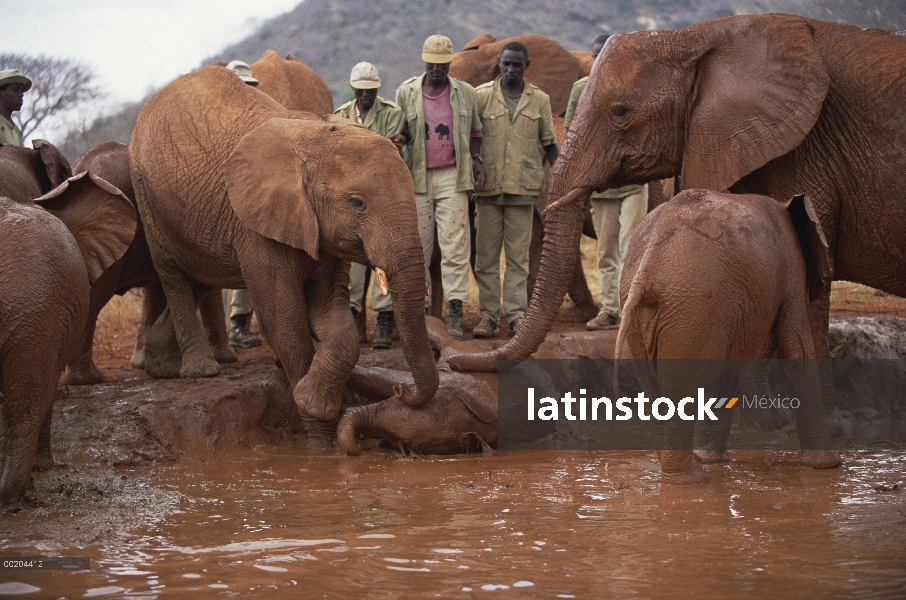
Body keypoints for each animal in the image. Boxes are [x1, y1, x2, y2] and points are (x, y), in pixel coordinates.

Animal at [129, 65, 436, 422]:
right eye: (357, 203)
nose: (400, 390)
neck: (313, 137)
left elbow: (333, 318)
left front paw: (313, 399)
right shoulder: (257, 221)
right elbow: (286, 323)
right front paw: (311, 409)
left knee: (201, 276)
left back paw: (160, 365)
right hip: (146, 197)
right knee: (174, 276)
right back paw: (199, 370)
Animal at [616, 190, 840, 486]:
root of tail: (647, 266)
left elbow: (727, 369)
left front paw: (714, 459)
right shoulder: (792, 271)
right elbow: (797, 354)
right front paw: (828, 466)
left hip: (661, 313)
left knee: (656, 385)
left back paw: (683, 472)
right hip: (693, 306)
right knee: (682, 386)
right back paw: (692, 478)